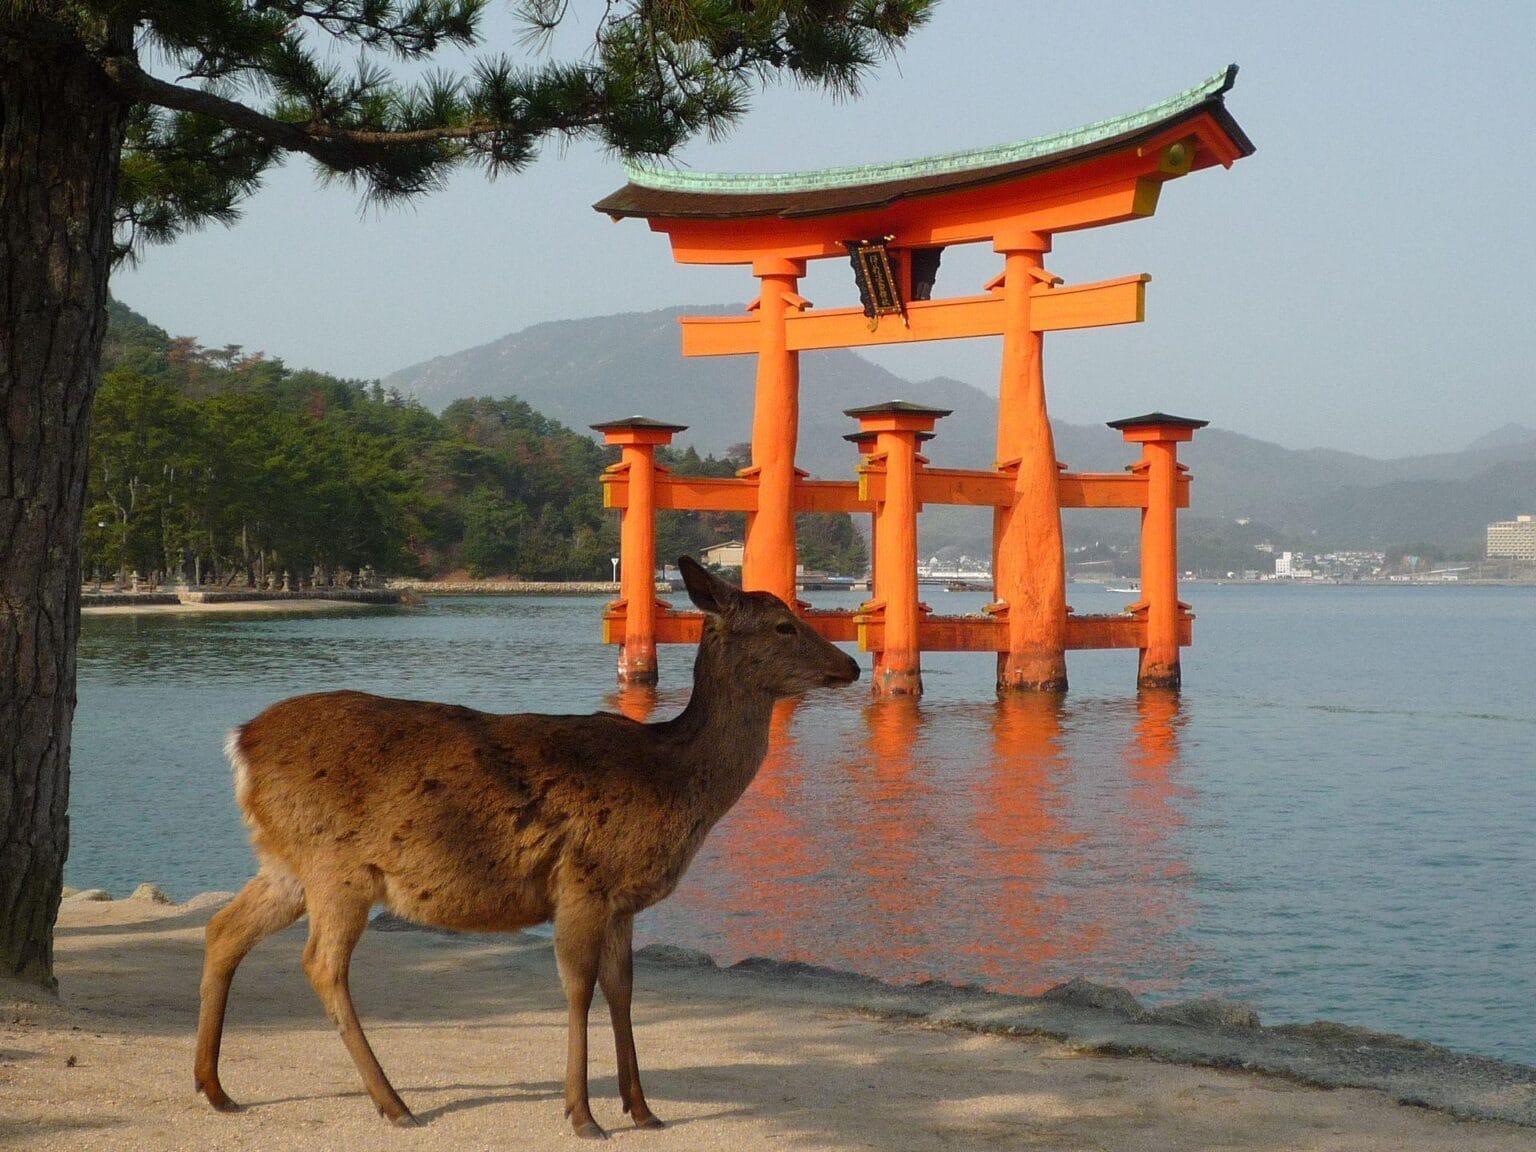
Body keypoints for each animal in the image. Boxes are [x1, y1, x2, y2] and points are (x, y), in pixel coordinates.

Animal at [193, 556, 860, 1138]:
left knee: (224, 928)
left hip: (286, 863)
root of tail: (240, 744)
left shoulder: (622, 901)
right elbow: (578, 987)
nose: (851, 666)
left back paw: (215, 1087)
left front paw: (642, 1109)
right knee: (321, 963)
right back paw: (394, 1103)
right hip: (338, 866)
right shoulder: (583, 879)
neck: (674, 779)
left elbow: (623, 988)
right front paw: (583, 1115)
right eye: (784, 624)